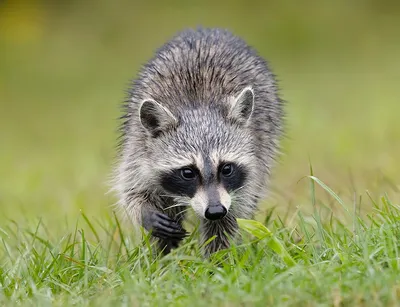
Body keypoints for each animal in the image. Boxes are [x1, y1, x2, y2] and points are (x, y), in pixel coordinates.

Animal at [112, 27, 284, 258]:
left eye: (226, 168)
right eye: (188, 172)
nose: (215, 210)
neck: (197, 107)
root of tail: (208, 30)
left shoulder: (255, 156)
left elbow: (230, 219)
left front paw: (217, 259)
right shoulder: (138, 144)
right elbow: (133, 190)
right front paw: (146, 213)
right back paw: (162, 255)